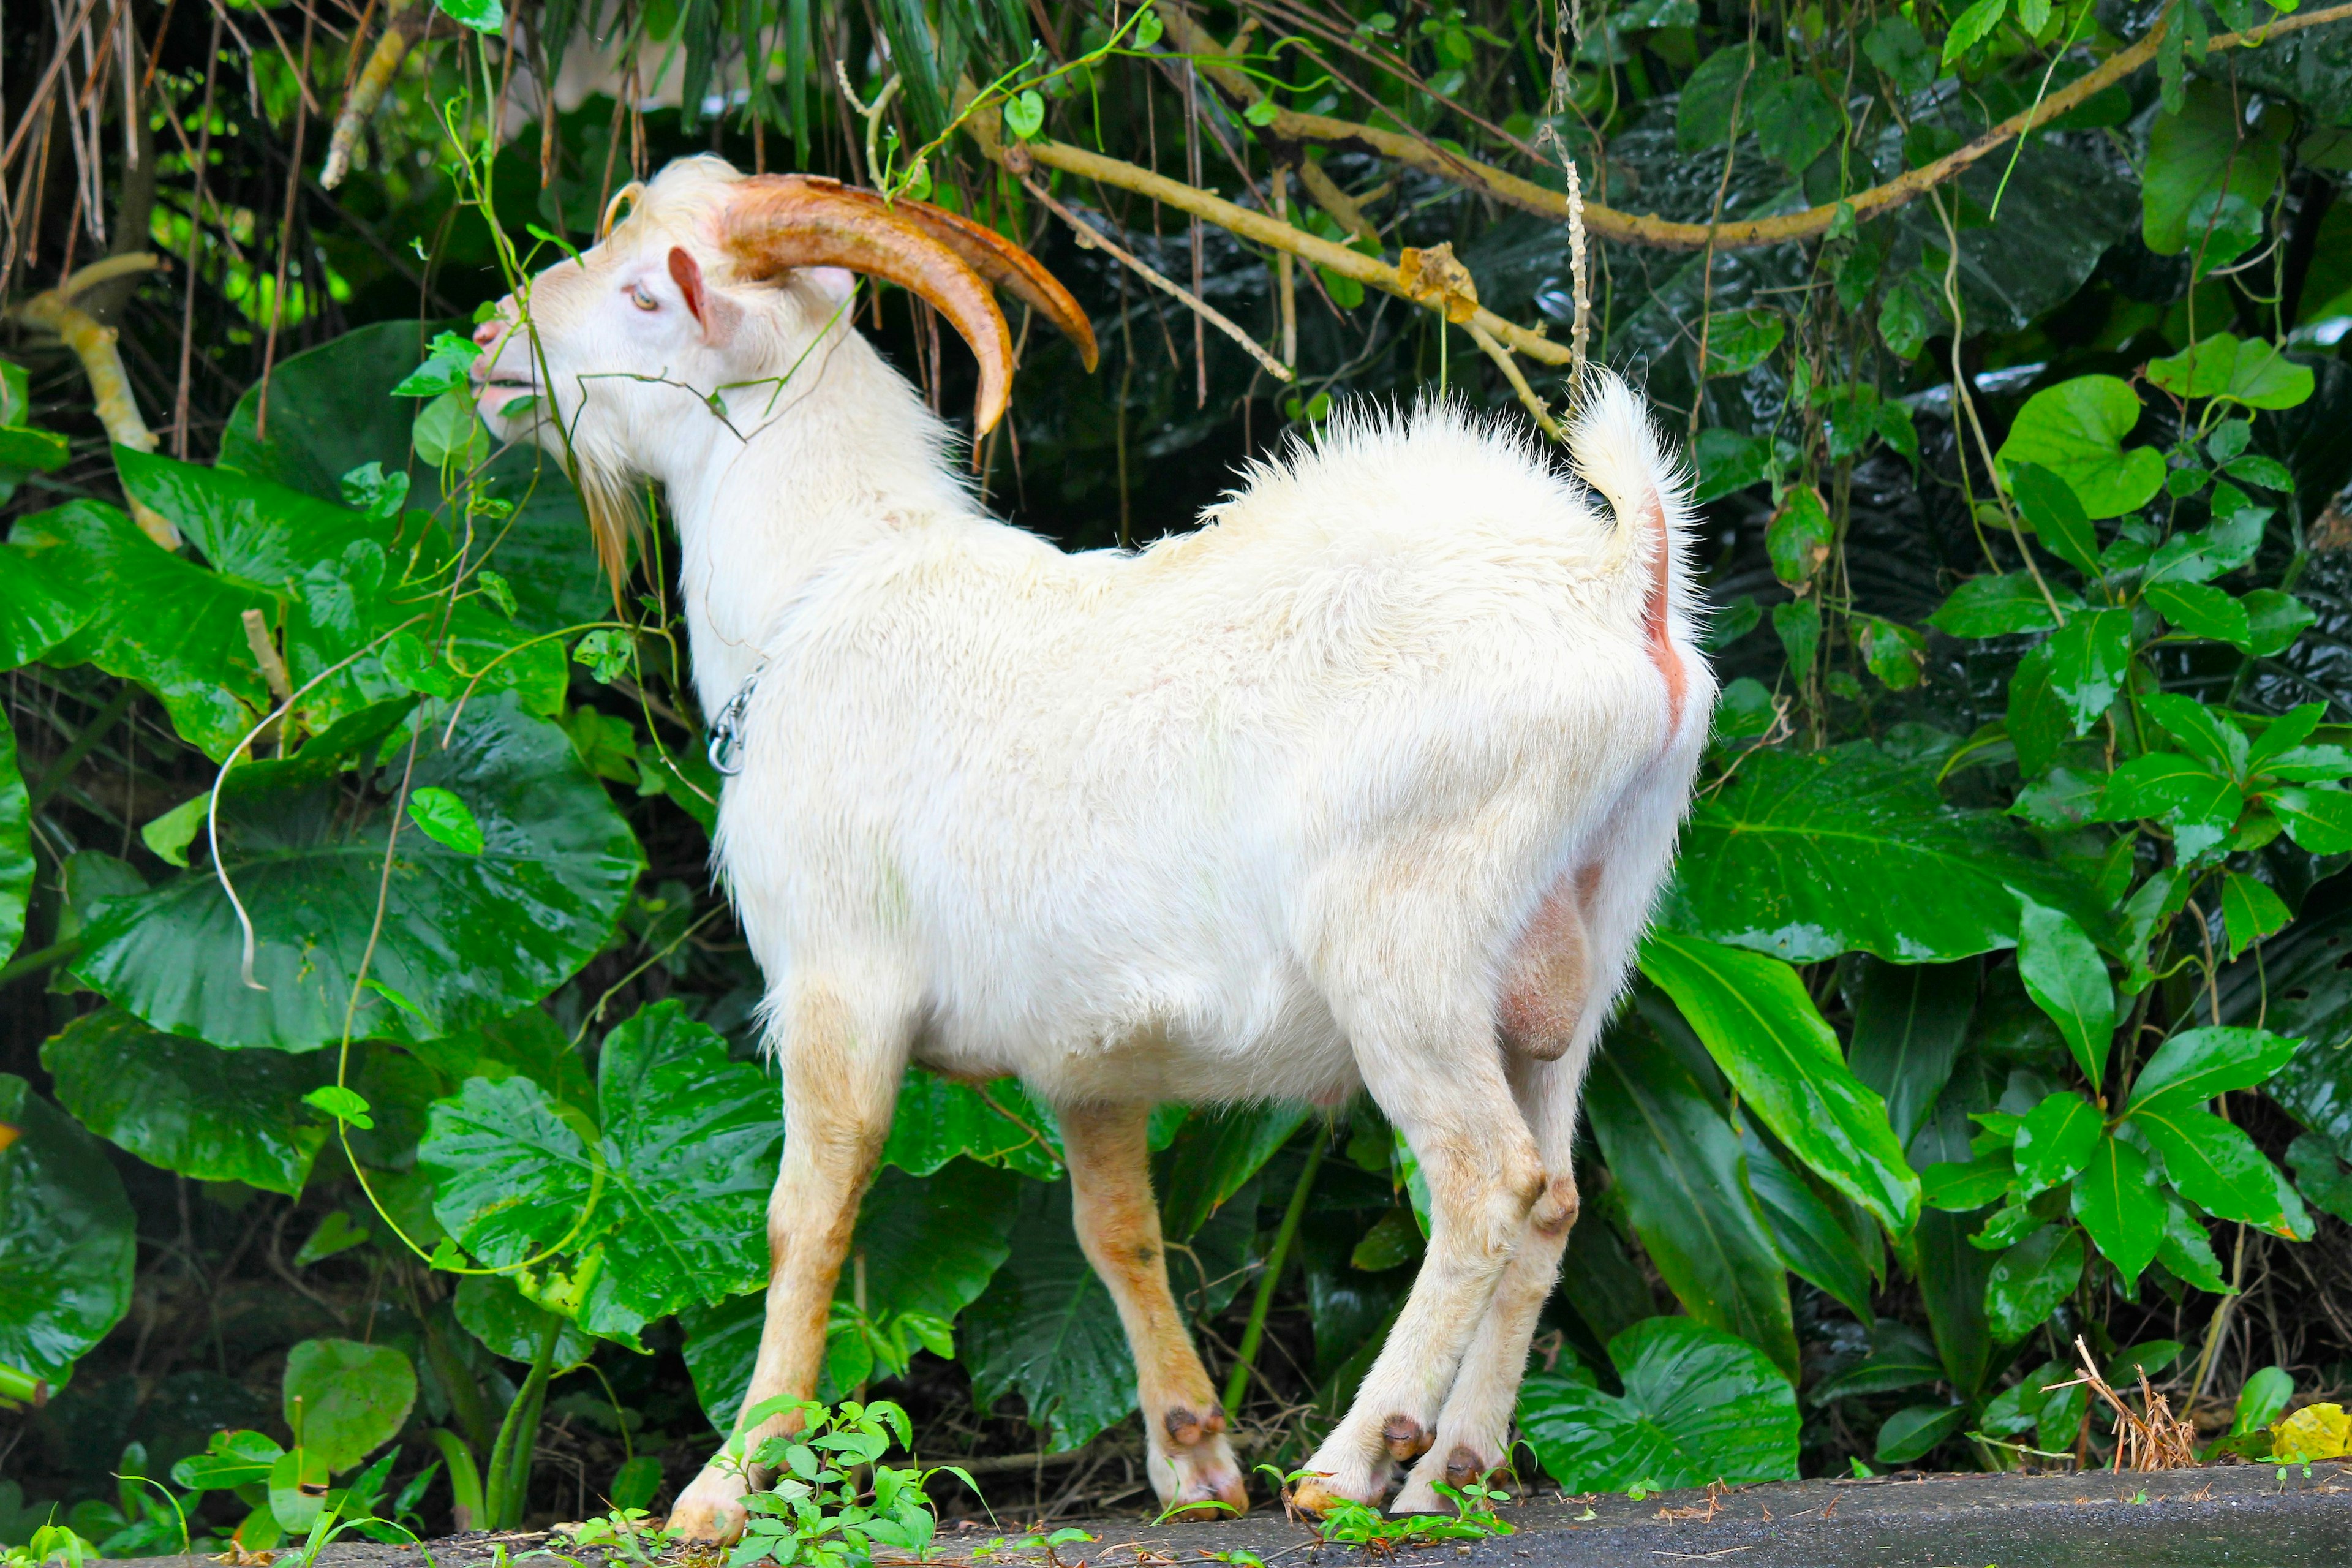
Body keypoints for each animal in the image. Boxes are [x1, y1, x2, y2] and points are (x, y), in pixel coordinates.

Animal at [468, 156, 1721, 1532]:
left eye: (647, 294)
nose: (488, 353)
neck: (824, 590)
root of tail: (1622, 585)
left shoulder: (838, 986)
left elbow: (808, 1218)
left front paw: (727, 1486)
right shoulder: (1086, 1052)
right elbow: (1116, 1226)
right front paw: (1193, 1461)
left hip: (1406, 953)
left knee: (1488, 1183)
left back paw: (1352, 1461)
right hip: (1581, 956)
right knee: (1556, 1196)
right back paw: (1454, 1468)